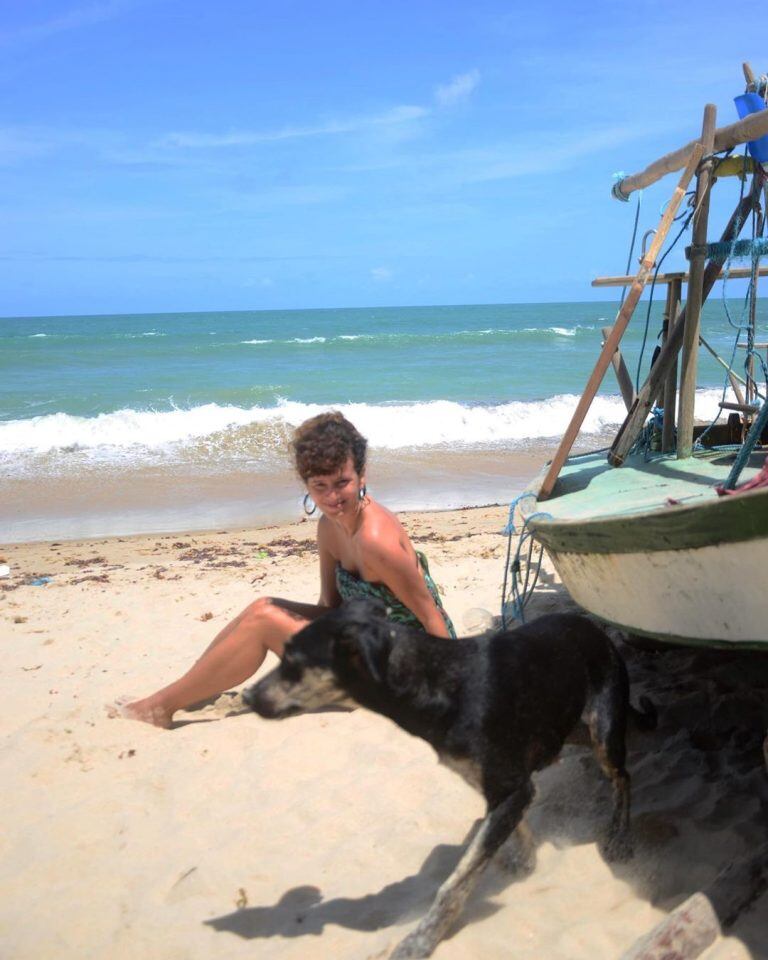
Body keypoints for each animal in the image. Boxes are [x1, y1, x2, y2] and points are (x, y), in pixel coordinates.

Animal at [243, 596, 652, 956]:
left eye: (292, 661)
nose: (247, 697)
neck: (433, 682)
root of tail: (595, 628)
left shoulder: (510, 787)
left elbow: (455, 882)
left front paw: (421, 941)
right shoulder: (498, 783)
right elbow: (508, 826)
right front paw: (524, 858)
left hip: (601, 730)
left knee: (623, 776)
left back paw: (619, 834)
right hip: (572, 727)